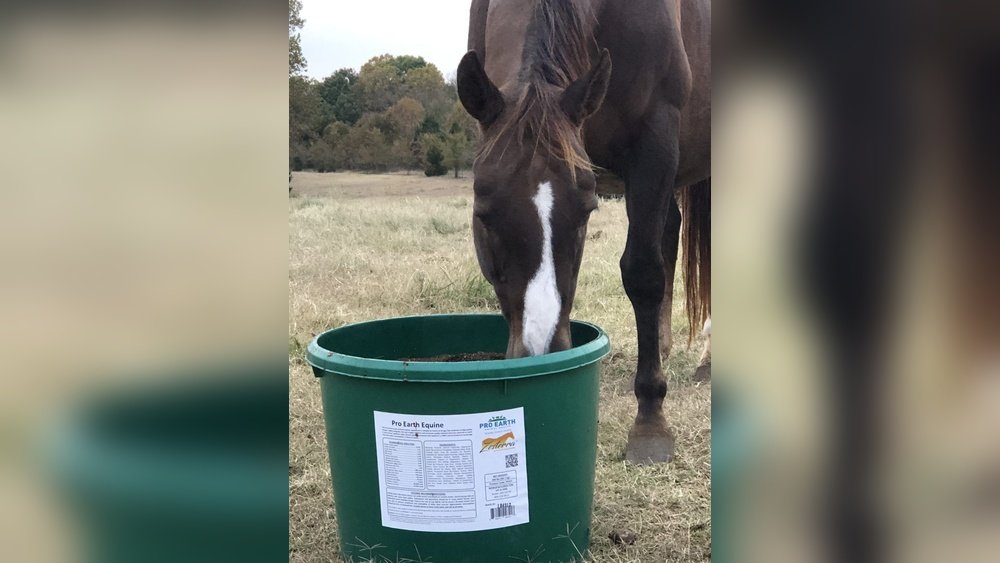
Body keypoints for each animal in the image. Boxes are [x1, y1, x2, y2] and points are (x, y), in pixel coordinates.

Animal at [457, 0, 710, 464]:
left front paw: (650, 421)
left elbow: (643, 273)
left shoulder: (655, 143)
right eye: (483, 214)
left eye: (587, 211)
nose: (540, 352)